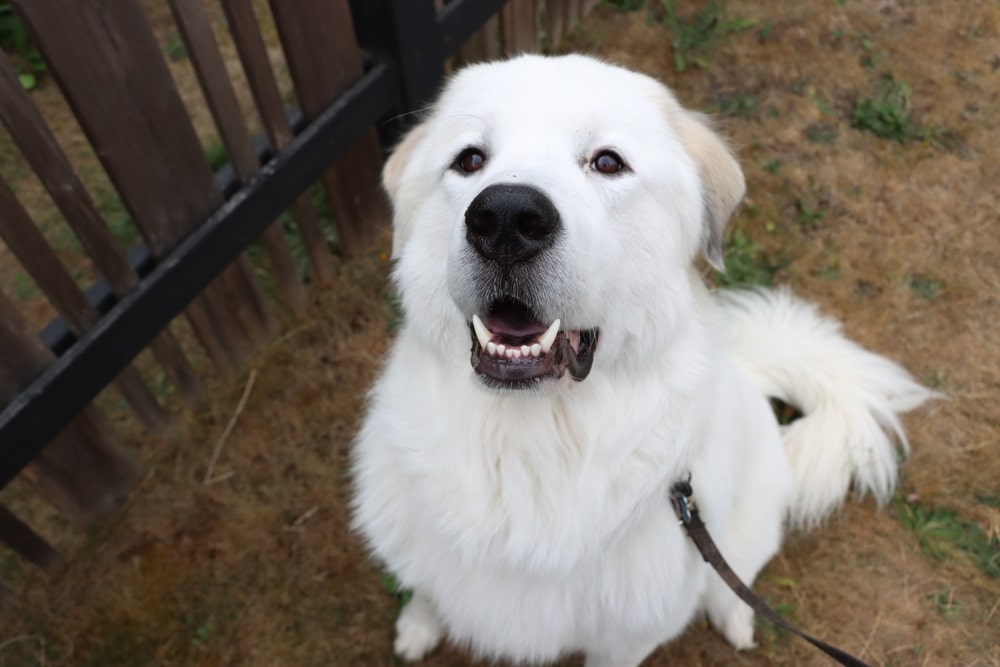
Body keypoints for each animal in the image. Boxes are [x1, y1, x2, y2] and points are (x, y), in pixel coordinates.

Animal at [350, 54, 928, 664]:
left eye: (608, 163)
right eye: (470, 160)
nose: (505, 218)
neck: (533, 440)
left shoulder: (628, 637)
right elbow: (426, 587)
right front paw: (418, 626)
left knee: (732, 578)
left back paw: (736, 618)